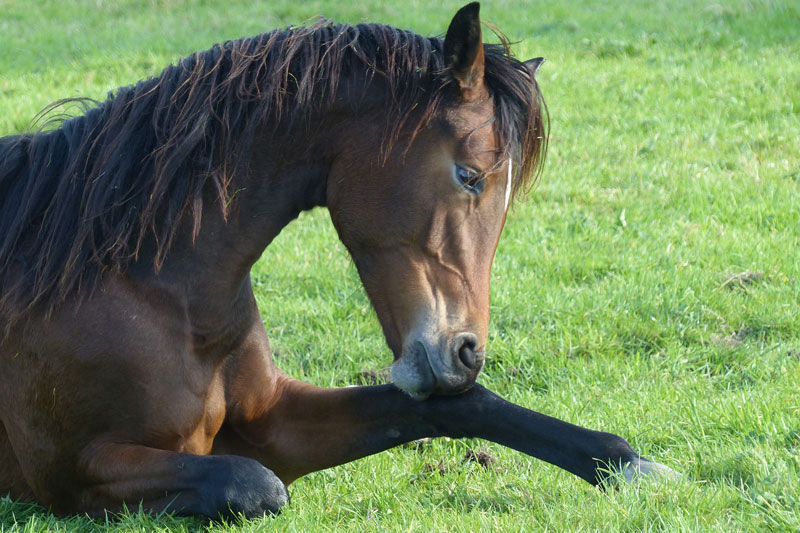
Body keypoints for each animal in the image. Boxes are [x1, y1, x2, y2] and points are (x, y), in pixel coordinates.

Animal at [0, 3, 675, 519]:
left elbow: (461, 407)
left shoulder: (276, 421)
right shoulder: (76, 472)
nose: (466, 353)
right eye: (470, 176)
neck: (149, 288)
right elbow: (252, 484)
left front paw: (631, 464)